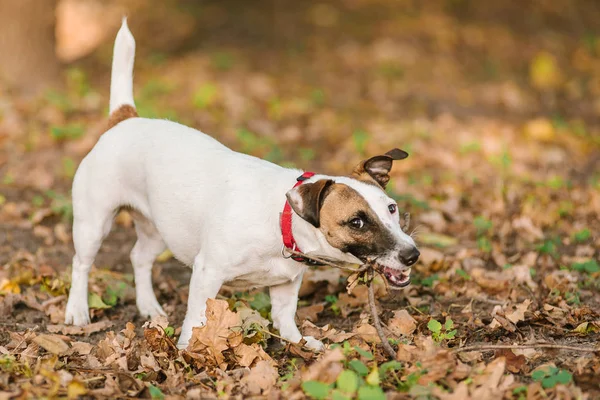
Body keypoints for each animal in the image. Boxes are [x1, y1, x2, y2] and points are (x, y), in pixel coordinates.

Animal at [63, 19, 420, 350]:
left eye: (392, 208)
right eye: (357, 222)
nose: (412, 255)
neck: (282, 220)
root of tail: (125, 118)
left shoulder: (286, 283)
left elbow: (285, 318)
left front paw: (299, 342)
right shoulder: (207, 272)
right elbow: (196, 318)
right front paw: (187, 350)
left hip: (159, 228)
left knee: (139, 257)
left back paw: (149, 306)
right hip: (93, 224)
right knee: (81, 264)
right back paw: (77, 310)